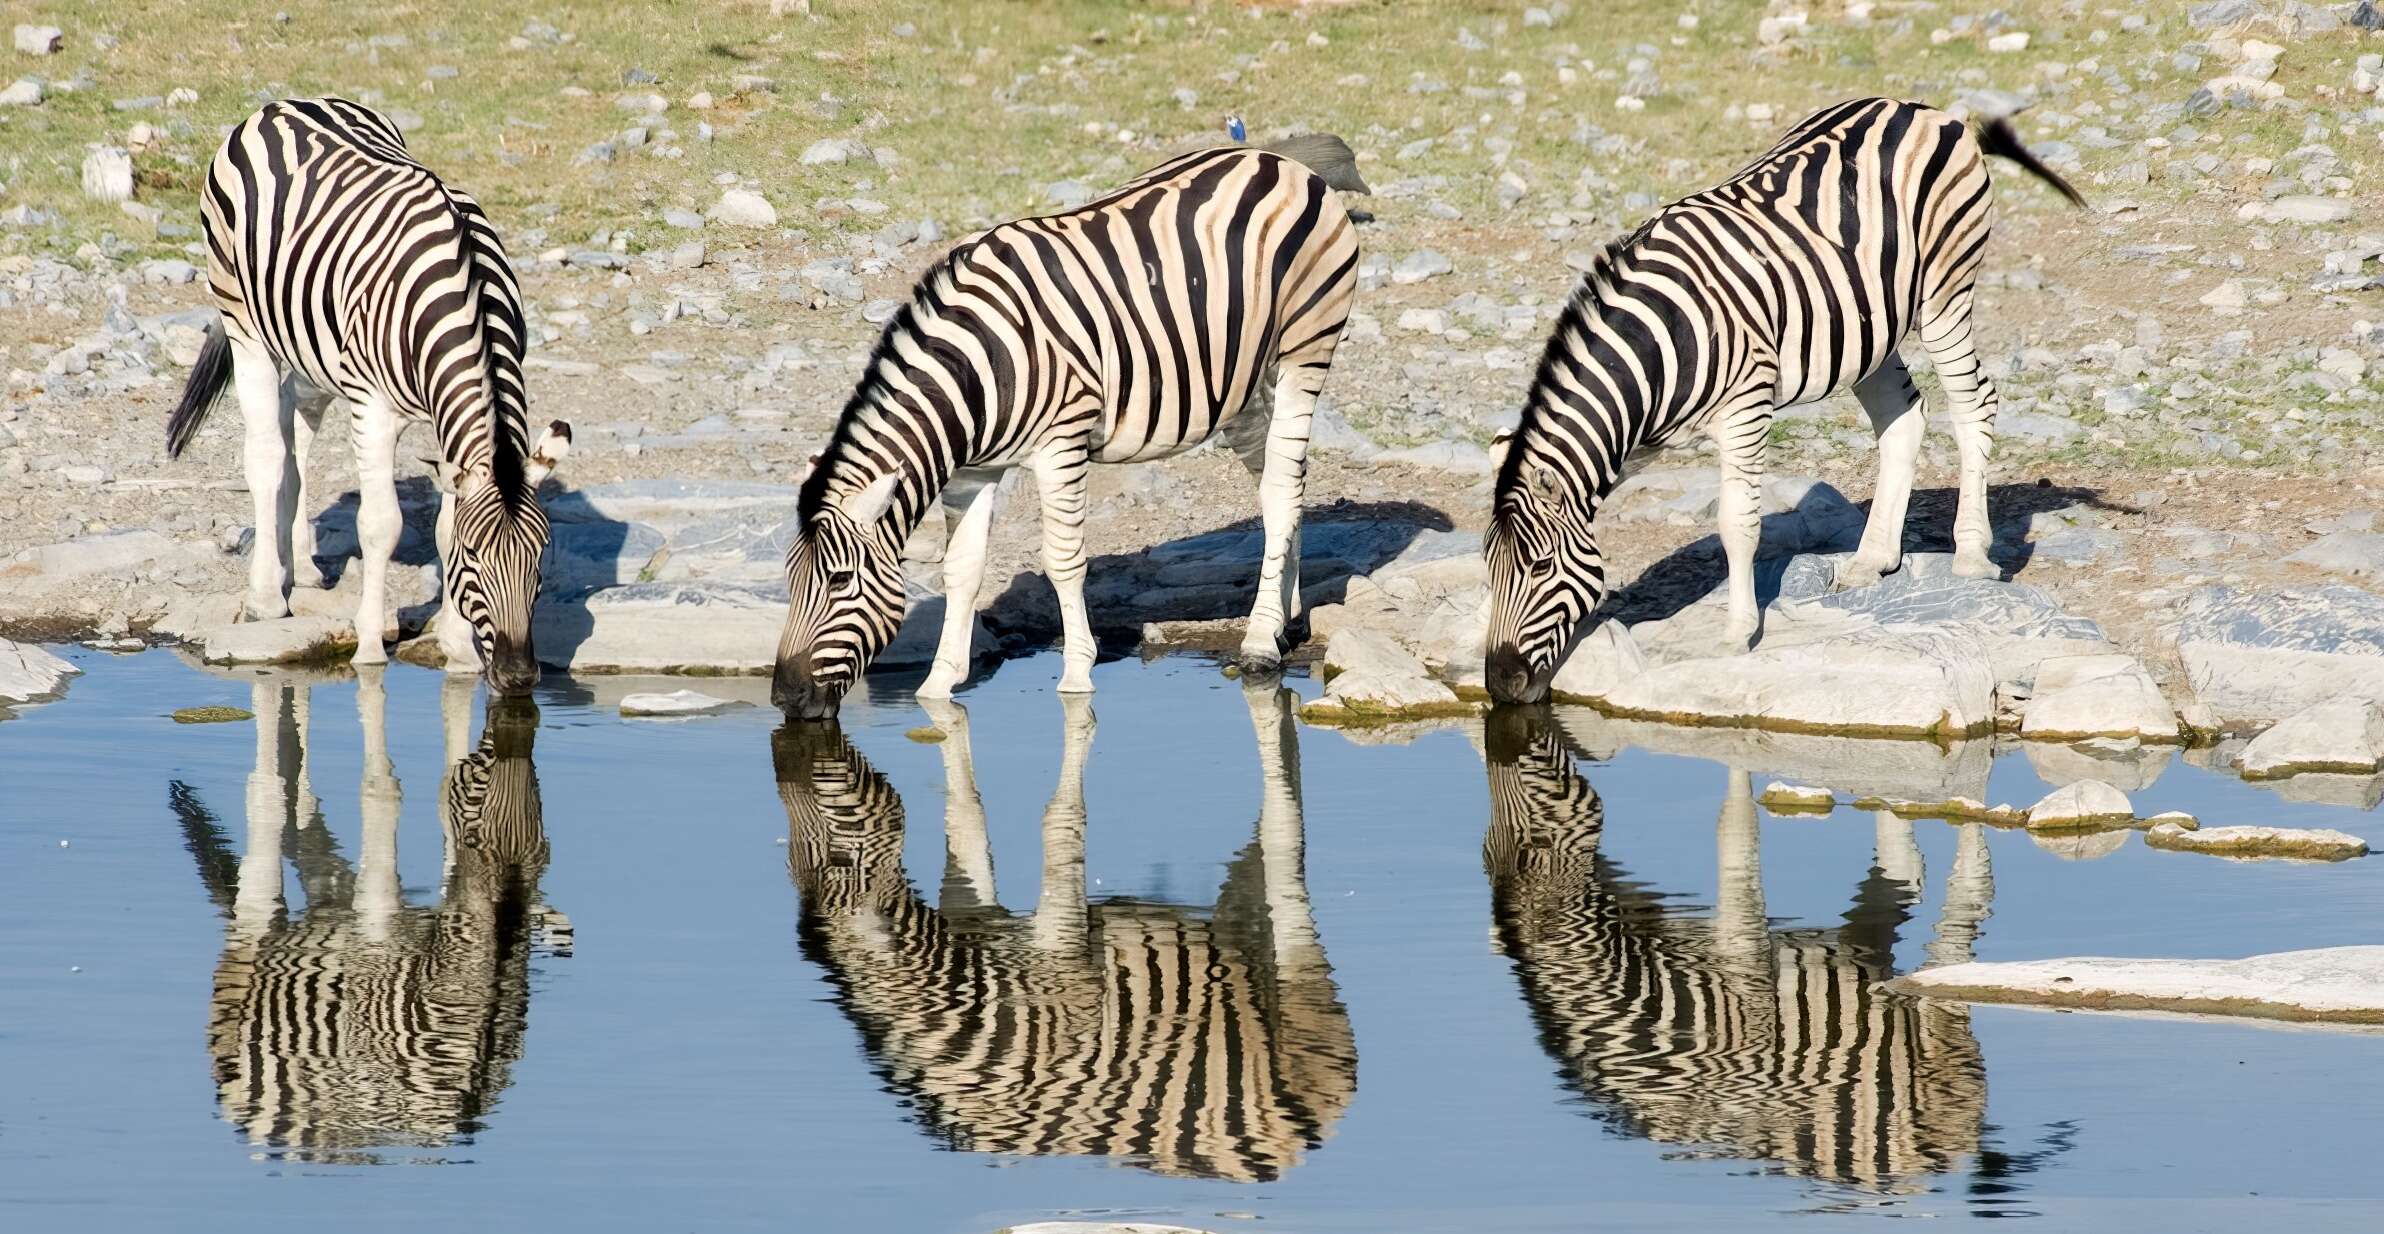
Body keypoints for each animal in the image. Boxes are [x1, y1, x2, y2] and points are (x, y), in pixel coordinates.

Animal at [165, 96, 569, 695]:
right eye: (477, 557)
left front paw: (458, 649)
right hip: (244, 321)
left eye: (541, 555)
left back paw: (300, 568)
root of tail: (287, 104)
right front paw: (372, 646)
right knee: (265, 453)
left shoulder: (445, 421)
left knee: (296, 427)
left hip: (310, 347)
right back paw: (266, 595)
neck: (465, 291)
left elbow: (442, 526)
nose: (518, 677)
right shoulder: (373, 408)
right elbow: (382, 525)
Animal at [772, 134, 1373, 719]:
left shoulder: (1061, 443)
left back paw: (1258, 644)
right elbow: (961, 570)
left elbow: (1063, 563)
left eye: (840, 580)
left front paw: (1077, 674)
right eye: (788, 580)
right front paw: (938, 687)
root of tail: (1277, 160)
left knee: (1281, 486)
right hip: (1243, 383)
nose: (786, 698)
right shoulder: (972, 471)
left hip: (1305, 350)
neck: (979, 371)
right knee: (1279, 486)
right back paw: (1283, 618)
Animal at [772, 690, 1354, 1186]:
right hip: (1236, 936)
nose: (800, 713)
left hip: (1300, 987)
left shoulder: (1068, 962)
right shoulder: (978, 922)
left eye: (838, 855)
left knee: (1286, 860)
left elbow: (1058, 825)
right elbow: (967, 821)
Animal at [1478, 705, 2002, 1200]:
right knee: (1903, 873)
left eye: (1533, 840)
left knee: (1966, 898)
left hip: (1935, 1061)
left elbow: (1735, 833)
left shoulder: (1743, 969)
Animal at [1487, 99, 2088, 705]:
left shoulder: (1745, 410)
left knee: (1974, 404)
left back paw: (1970, 554)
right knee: (1902, 419)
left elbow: (1737, 524)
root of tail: (1928, 110)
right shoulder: (1632, 444)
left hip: (1946, 292)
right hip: (1869, 326)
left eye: (1540, 568)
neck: (1660, 350)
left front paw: (1736, 634)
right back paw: (1871, 561)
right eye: (1489, 567)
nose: (1499, 683)